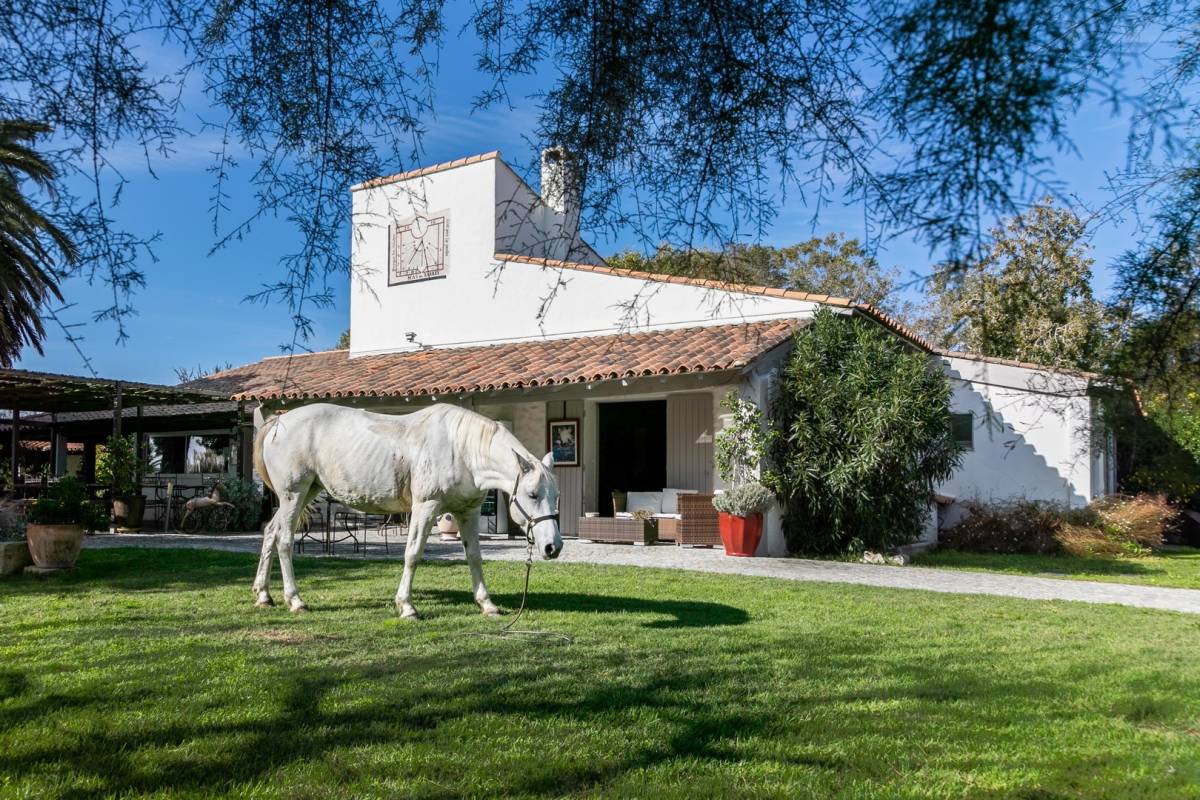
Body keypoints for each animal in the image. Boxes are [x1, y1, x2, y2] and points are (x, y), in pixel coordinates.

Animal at [253, 402, 561, 618]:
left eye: (556, 495)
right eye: (532, 494)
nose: (552, 547)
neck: (461, 449)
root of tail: (278, 422)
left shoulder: (468, 512)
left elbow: (474, 556)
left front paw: (487, 605)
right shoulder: (426, 508)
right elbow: (412, 554)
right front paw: (407, 607)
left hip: (306, 493)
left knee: (270, 533)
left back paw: (264, 595)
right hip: (294, 495)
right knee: (284, 540)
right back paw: (295, 600)